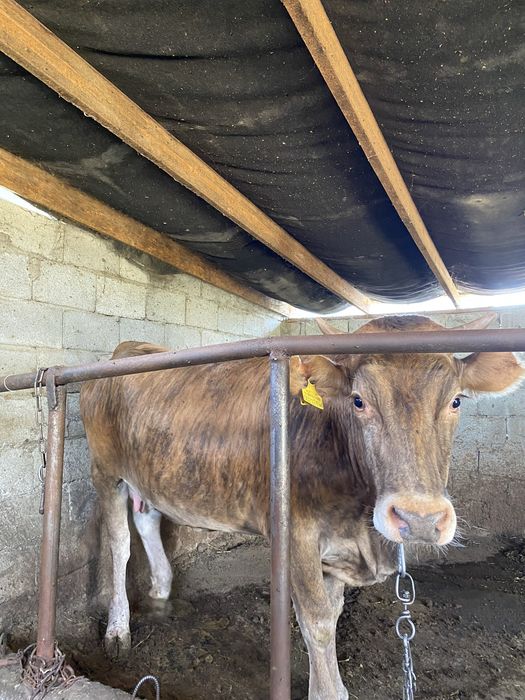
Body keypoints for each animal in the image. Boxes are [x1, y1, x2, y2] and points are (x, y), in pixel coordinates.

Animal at [80, 314, 523, 700]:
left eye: (456, 402)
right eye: (358, 400)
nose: (419, 518)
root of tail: (128, 348)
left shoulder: (339, 546)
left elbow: (334, 610)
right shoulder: (298, 534)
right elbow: (318, 620)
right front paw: (329, 692)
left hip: (151, 470)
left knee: (147, 518)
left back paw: (160, 589)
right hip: (106, 470)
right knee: (119, 543)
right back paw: (118, 629)